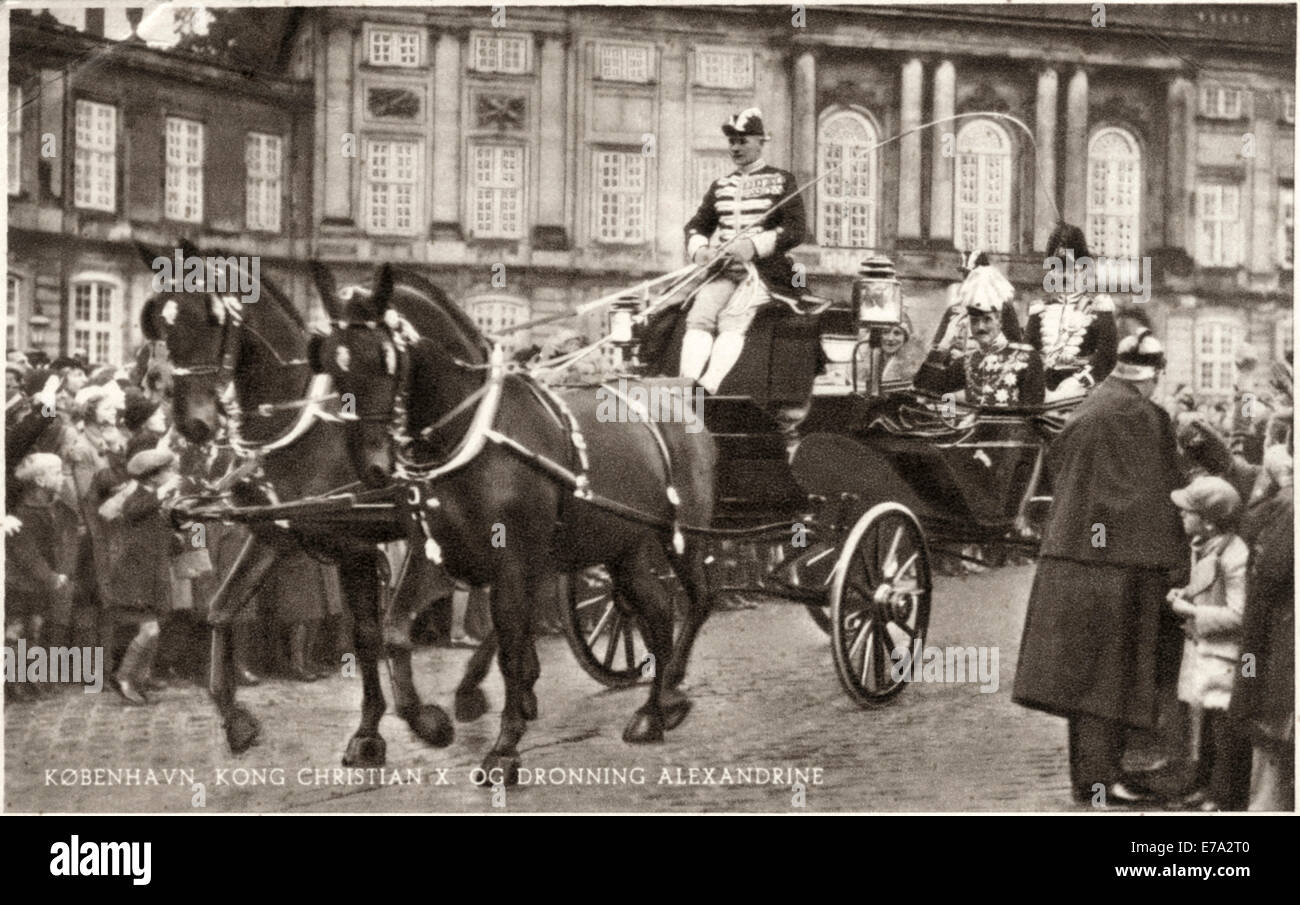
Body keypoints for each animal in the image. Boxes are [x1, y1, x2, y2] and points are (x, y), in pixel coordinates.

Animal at [134, 244, 493, 764]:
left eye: (211, 316)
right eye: (161, 319)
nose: (190, 424)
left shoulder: (371, 543)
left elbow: (381, 630)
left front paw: (417, 719)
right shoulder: (281, 536)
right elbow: (224, 610)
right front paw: (241, 720)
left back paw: (470, 691)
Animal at [315, 270, 722, 785]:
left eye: (385, 359)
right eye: (330, 361)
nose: (372, 467)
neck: (468, 435)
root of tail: (682, 409)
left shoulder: (512, 563)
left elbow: (509, 646)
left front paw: (504, 748)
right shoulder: (435, 554)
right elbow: (392, 631)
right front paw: (427, 723)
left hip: (682, 537)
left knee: (698, 599)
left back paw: (667, 694)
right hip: (622, 549)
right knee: (654, 609)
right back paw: (656, 709)